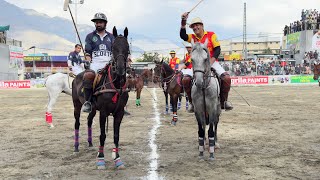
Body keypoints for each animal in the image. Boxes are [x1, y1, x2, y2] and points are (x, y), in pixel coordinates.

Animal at [71, 26, 129, 169]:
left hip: (93, 109)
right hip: (76, 105)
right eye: (113, 47)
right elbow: (103, 135)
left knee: (89, 120)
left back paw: (90, 143)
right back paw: (76, 147)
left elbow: (116, 135)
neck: (116, 85)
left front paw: (118, 159)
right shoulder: (103, 112)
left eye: (127, 46)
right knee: (77, 123)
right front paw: (101, 159)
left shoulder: (119, 112)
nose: (120, 69)